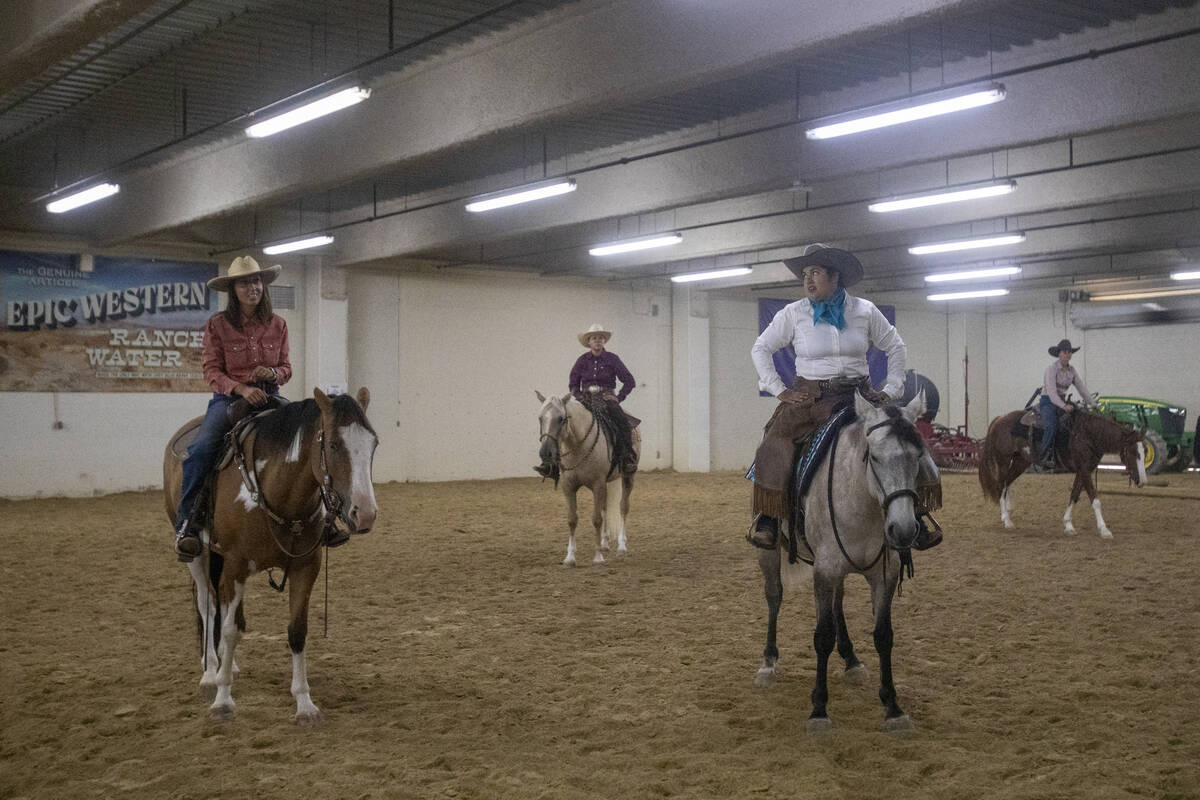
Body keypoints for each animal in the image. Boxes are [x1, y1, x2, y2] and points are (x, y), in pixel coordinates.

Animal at [159, 383, 374, 724]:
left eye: (374, 443)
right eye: (334, 444)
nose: (365, 513)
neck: (279, 493)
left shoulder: (305, 567)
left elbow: (296, 631)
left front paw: (304, 704)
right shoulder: (235, 565)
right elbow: (231, 629)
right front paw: (223, 699)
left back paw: (227, 664)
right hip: (197, 554)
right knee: (207, 604)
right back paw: (210, 673)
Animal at [537, 391, 638, 566]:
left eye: (561, 418)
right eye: (540, 418)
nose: (545, 453)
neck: (577, 447)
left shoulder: (597, 485)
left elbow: (596, 519)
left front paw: (597, 557)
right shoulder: (568, 487)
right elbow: (572, 519)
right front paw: (570, 557)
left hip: (628, 476)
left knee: (623, 507)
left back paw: (621, 546)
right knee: (605, 507)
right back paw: (605, 543)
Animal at [753, 391, 931, 734]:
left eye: (918, 456)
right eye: (874, 457)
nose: (903, 529)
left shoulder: (884, 574)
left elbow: (883, 635)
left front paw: (893, 708)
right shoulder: (824, 570)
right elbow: (822, 636)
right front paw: (819, 710)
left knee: (838, 603)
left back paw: (851, 660)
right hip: (770, 552)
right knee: (773, 596)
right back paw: (768, 663)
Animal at [979, 407, 1147, 537]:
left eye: (1145, 451)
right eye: (1133, 452)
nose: (1143, 481)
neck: (1087, 435)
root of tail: (999, 419)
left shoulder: (1083, 470)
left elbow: (1074, 495)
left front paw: (1068, 525)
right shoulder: (1085, 470)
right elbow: (1095, 499)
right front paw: (1104, 529)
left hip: (1021, 461)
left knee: (1007, 482)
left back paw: (1008, 512)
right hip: (1003, 460)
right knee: (1001, 484)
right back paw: (1006, 519)